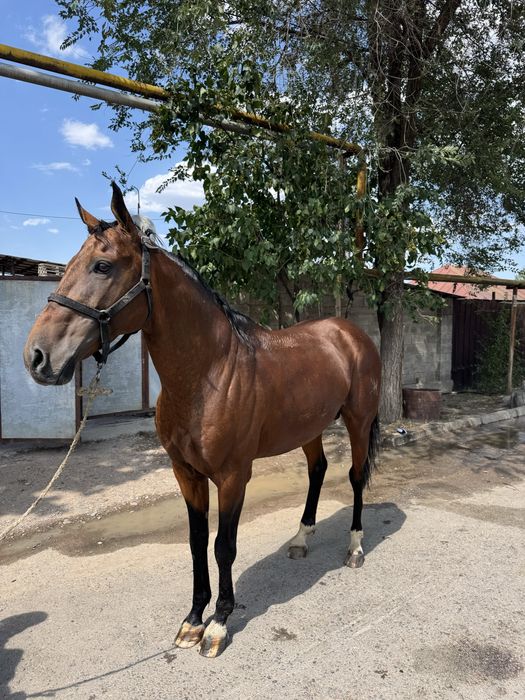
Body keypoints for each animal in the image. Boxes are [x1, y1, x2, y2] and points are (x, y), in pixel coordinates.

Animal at [24, 182, 381, 658]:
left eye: (102, 266)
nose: (37, 357)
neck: (210, 373)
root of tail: (351, 333)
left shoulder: (232, 476)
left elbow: (223, 546)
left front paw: (219, 624)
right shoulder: (186, 474)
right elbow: (195, 545)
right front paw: (193, 619)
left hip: (358, 420)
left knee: (356, 477)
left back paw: (355, 548)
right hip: (310, 427)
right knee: (319, 470)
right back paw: (301, 540)